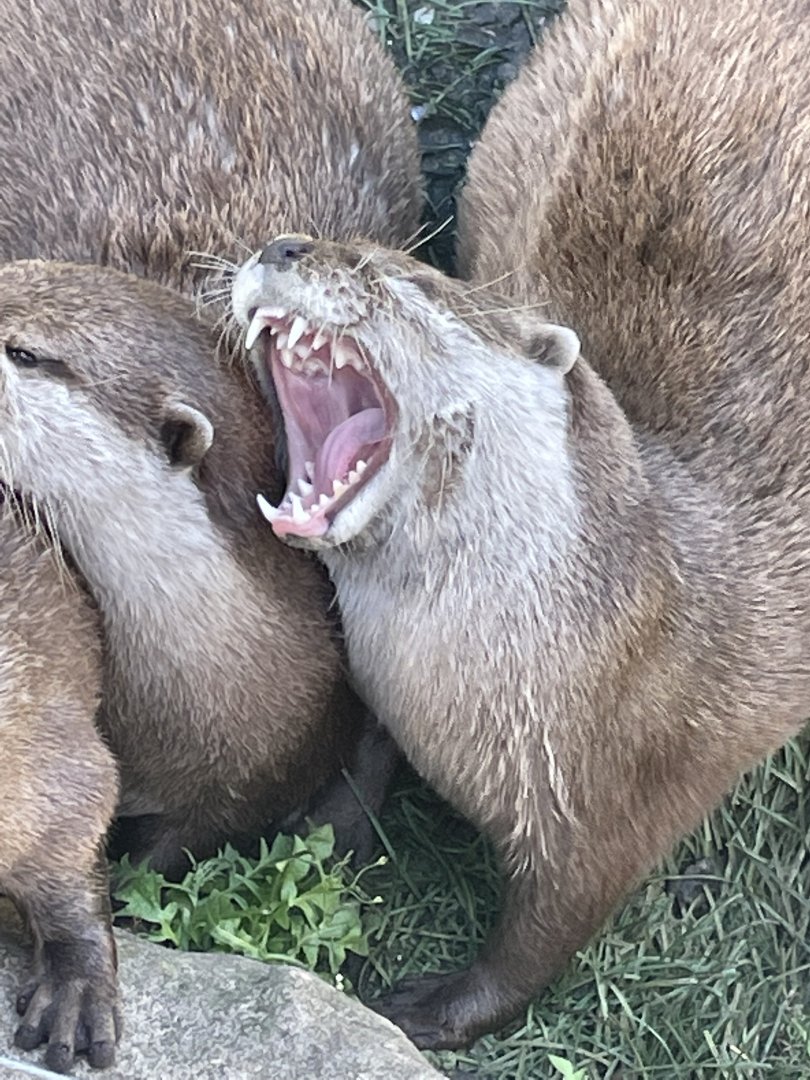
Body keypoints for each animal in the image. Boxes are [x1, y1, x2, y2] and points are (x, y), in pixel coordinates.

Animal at [230, 0, 810, 1048]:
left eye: (403, 279)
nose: (283, 246)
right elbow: (361, 756)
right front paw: (320, 834)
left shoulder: (631, 798)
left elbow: (543, 942)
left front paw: (433, 1010)